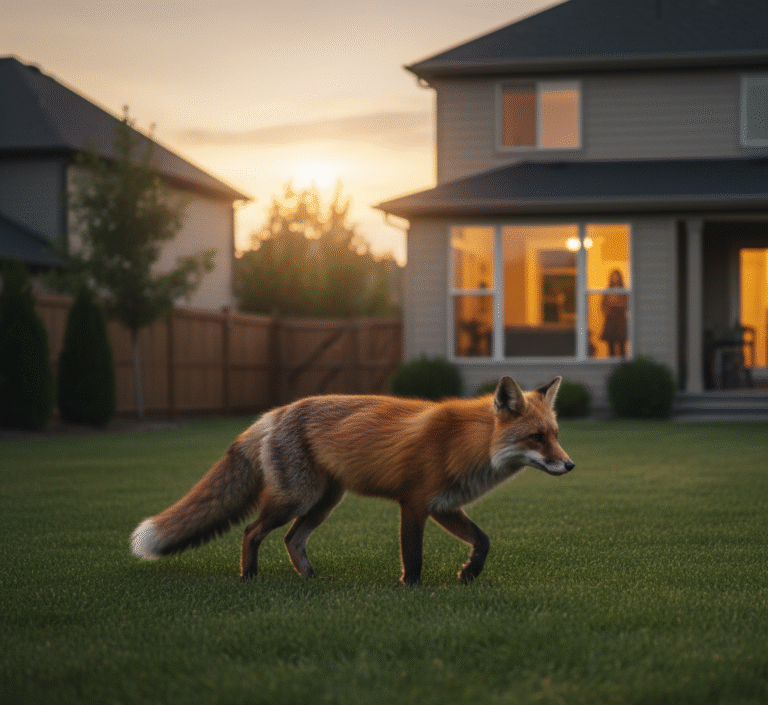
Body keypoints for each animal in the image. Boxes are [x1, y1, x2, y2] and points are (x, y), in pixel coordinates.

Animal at [131, 376, 574, 585]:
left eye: (555, 435)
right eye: (537, 438)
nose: (570, 465)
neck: (465, 444)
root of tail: (272, 414)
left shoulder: (445, 505)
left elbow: (483, 541)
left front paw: (469, 573)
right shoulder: (414, 503)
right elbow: (413, 555)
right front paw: (412, 588)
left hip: (324, 502)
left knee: (292, 539)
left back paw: (309, 578)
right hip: (297, 498)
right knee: (251, 531)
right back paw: (249, 577)